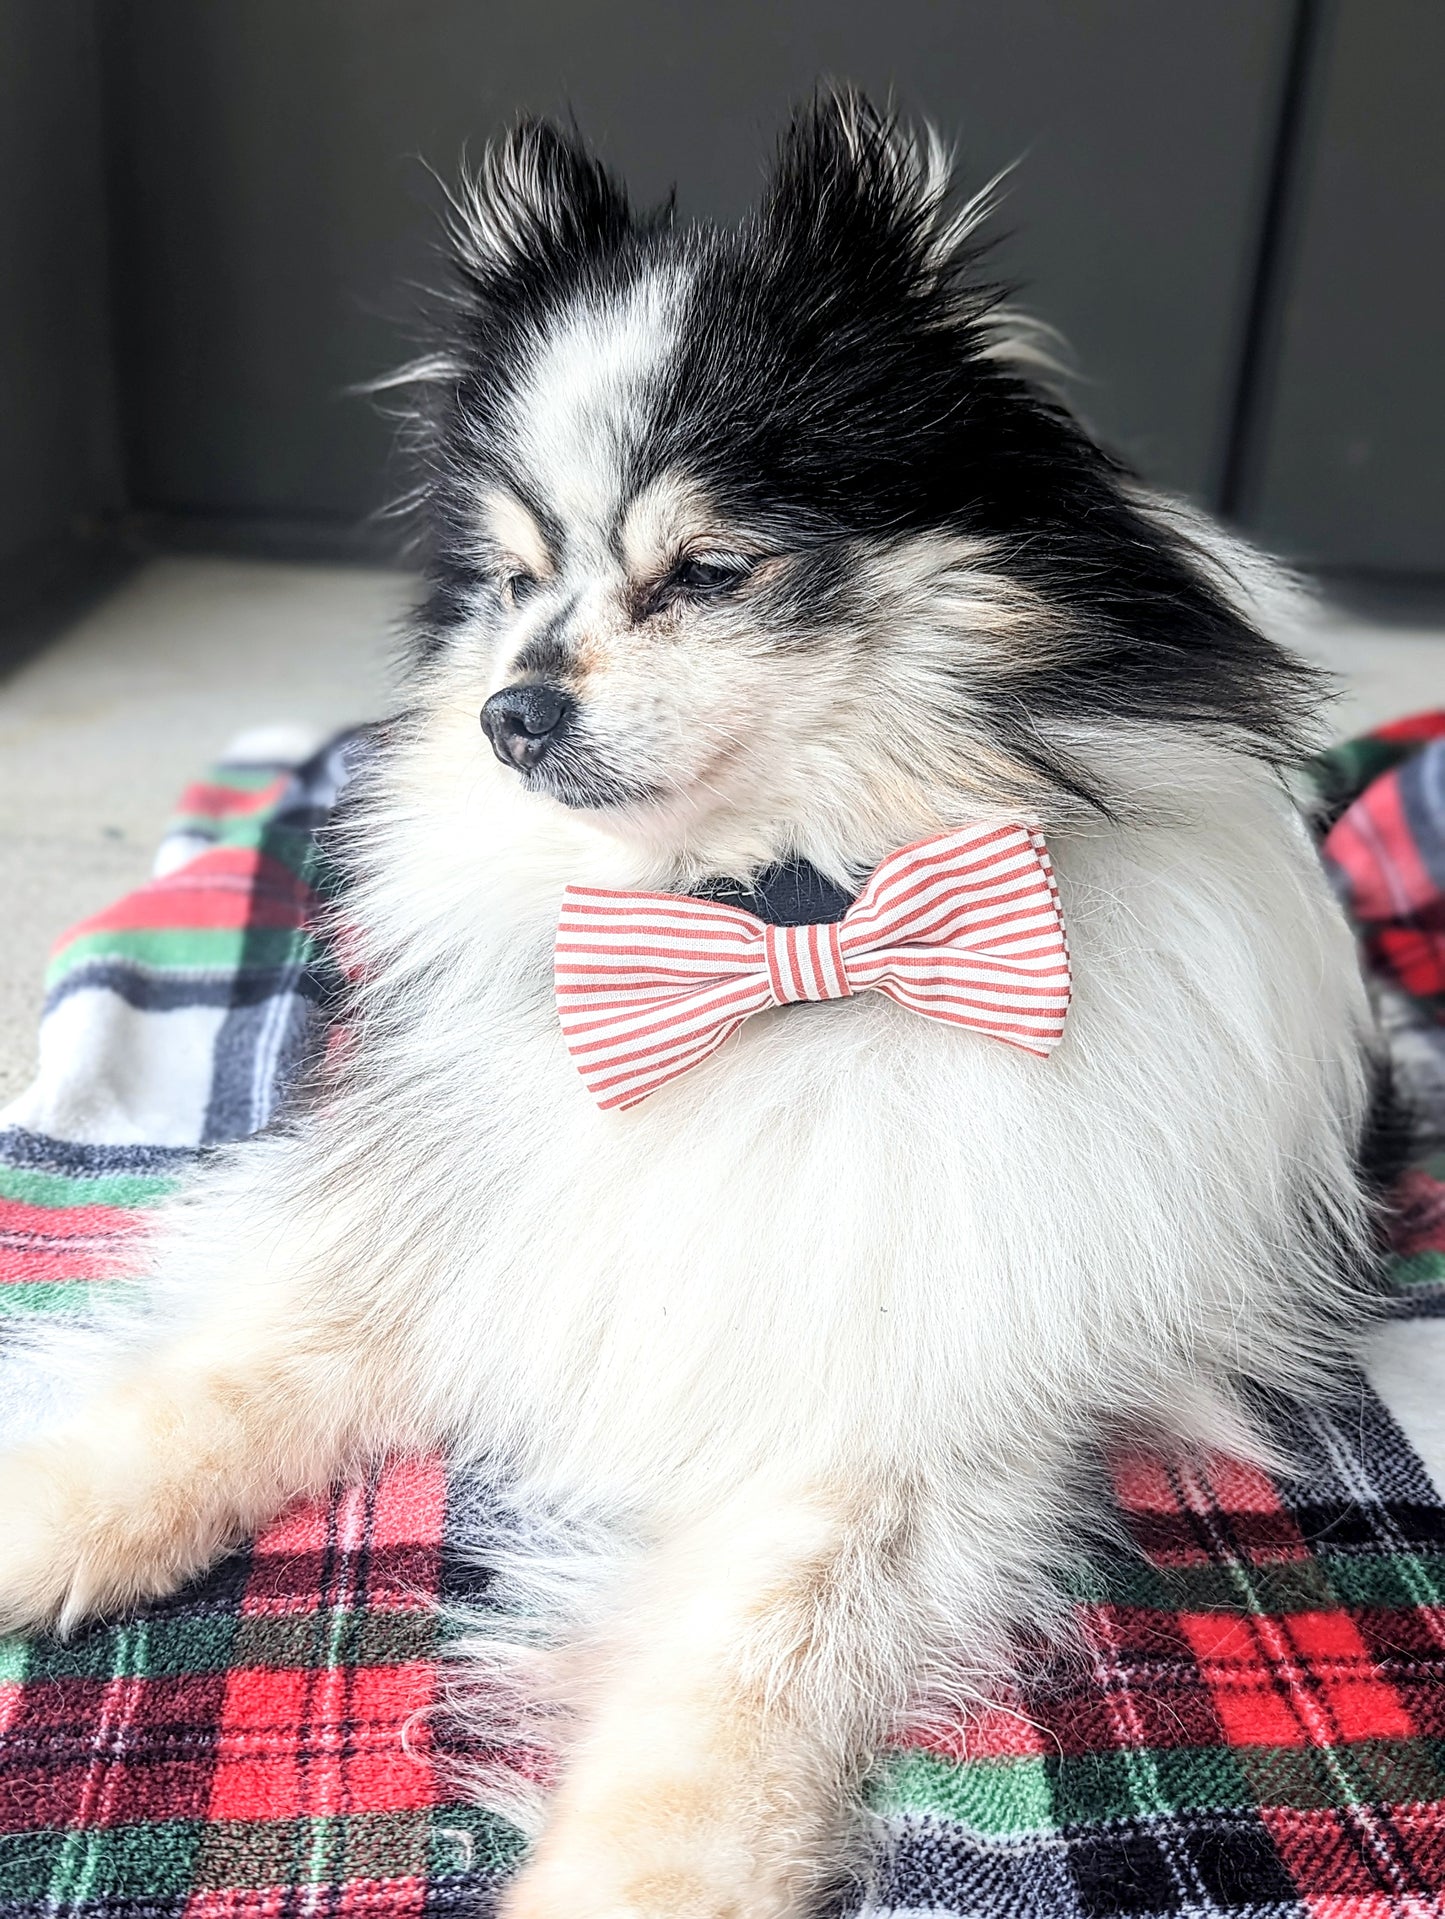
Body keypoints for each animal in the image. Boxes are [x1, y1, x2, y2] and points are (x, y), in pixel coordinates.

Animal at [0, 97, 1373, 1919]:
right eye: (513, 578)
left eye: (708, 568)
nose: (509, 713)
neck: (765, 932)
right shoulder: (480, 1216)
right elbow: (221, 1379)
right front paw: (43, 1511)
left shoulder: (890, 1393)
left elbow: (741, 1677)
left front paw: (638, 1879)